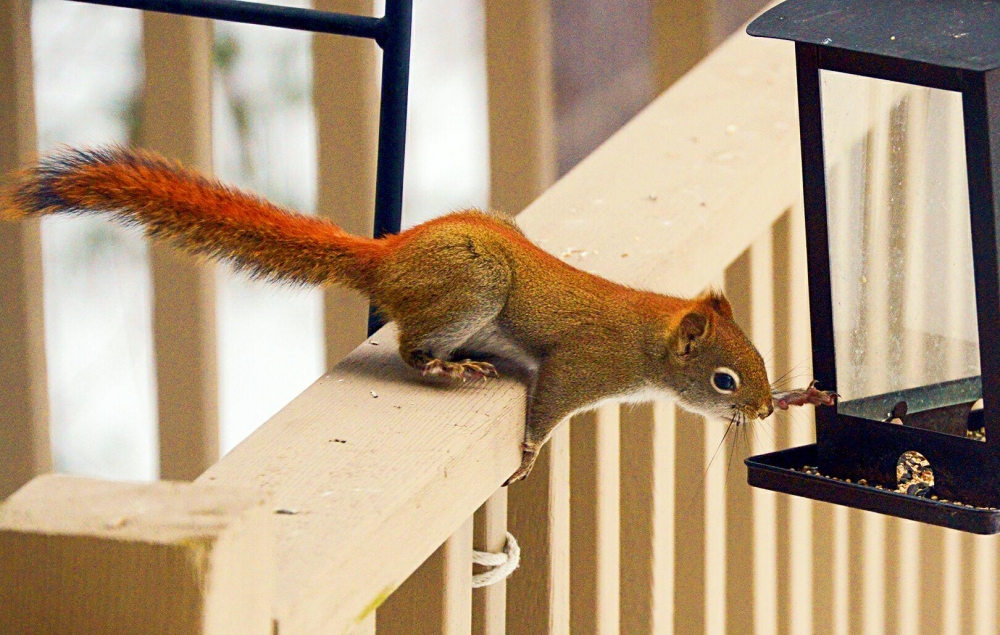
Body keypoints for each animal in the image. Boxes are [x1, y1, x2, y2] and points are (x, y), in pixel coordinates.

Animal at [1, 147, 836, 484]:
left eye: (762, 364)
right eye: (724, 379)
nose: (763, 408)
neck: (647, 334)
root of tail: (385, 257)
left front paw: (806, 394)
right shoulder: (580, 364)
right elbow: (546, 408)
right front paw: (527, 454)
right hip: (474, 288)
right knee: (407, 344)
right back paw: (447, 363)